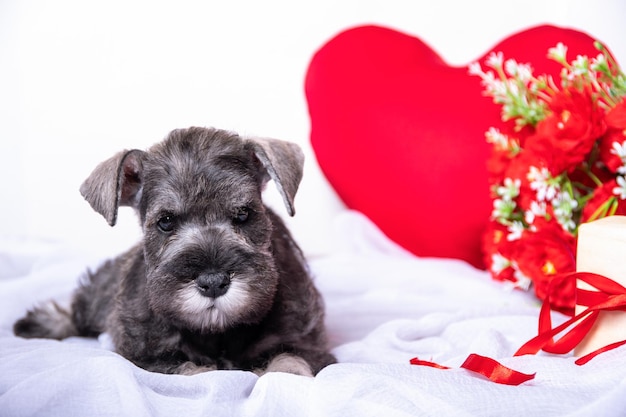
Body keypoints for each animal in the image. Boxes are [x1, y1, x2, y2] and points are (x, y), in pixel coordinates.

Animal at [13, 126, 336, 374]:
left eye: (244, 214)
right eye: (166, 221)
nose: (213, 282)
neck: (218, 332)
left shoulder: (305, 343)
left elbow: (288, 362)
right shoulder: (149, 357)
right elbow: (192, 370)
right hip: (99, 295)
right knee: (79, 310)